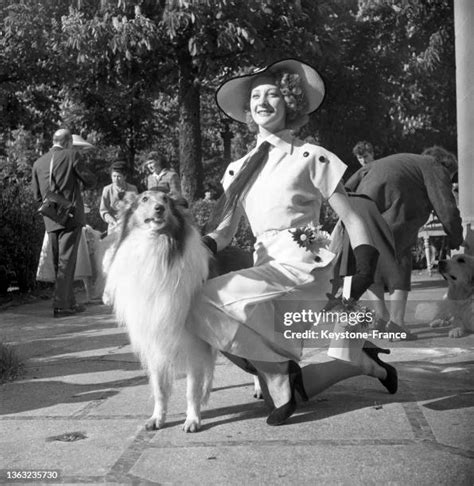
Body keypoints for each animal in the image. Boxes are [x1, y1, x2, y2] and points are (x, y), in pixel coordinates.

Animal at [104, 190, 216, 432]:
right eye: (144, 199)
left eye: (165, 199)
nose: (159, 209)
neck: (155, 247)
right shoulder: (154, 340)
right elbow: (160, 388)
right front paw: (157, 418)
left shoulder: (193, 343)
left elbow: (191, 389)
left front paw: (192, 420)